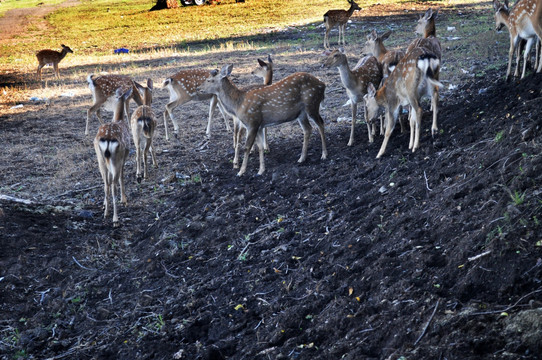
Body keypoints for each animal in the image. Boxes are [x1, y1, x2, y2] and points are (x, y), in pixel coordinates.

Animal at [93, 87, 132, 226]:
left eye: (113, 97)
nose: (105, 106)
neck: (119, 120)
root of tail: (108, 139)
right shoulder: (124, 156)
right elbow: (121, 176)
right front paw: (124, 200)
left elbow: (108, 181)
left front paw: (105, 204)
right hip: (116, 158)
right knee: (114, 183)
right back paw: (115, 219)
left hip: (100, 158)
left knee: (106, 184)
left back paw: (106, 213)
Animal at [199, 65, 328, 178]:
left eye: (209, 80)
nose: (199, 89)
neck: (238, 104)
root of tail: (323, 84)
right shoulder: (259, 125)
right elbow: (260, 146)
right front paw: (261, 171)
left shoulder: (252, 122)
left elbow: (247, 147)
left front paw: (241, 172)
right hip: (301, 113)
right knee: (308, 128)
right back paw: (301, 158)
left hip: (312, 104)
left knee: (321, 123)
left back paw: (324, 154)